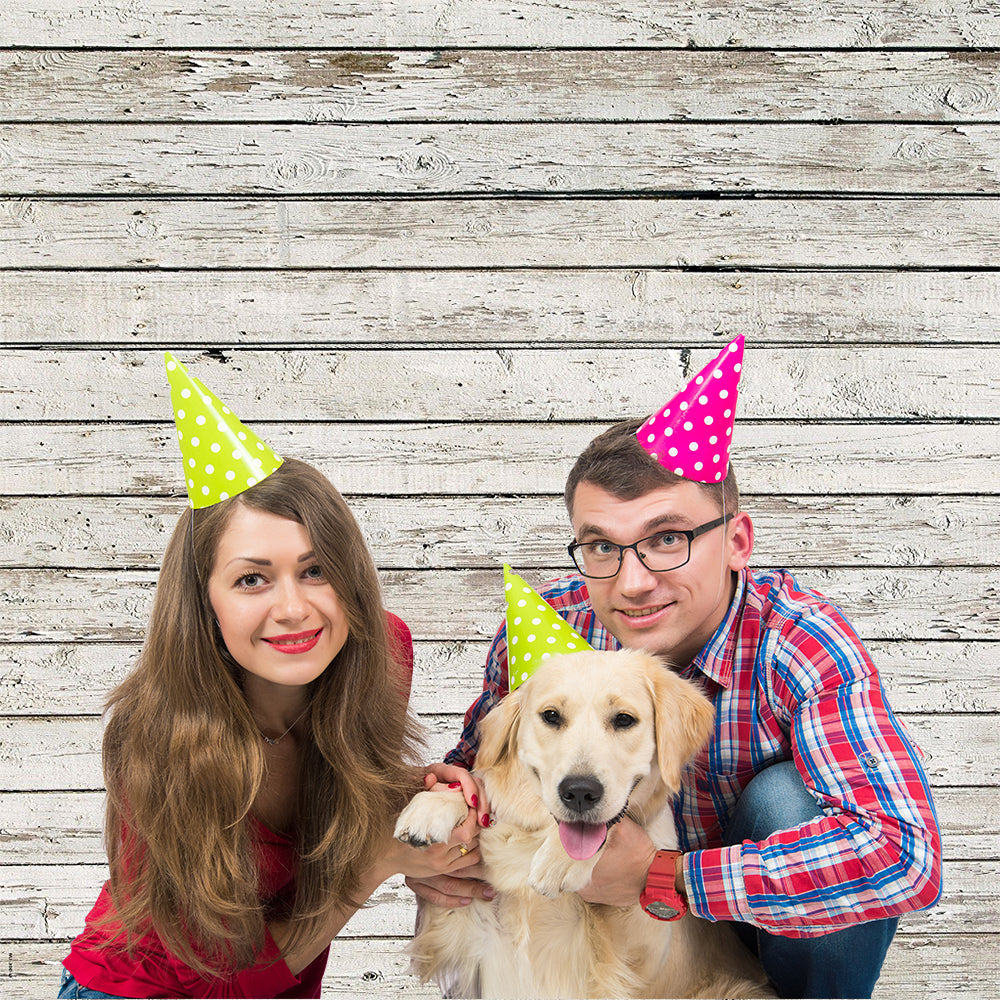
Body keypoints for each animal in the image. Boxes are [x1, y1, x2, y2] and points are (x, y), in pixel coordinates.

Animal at [394, 648, 776, 1000]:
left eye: (624, 719)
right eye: (551, 716)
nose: (579, 792)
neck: (537, 836)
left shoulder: (644, 957)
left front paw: (560, 861)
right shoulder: (457, 931)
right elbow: (478, 789)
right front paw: (434, 806)